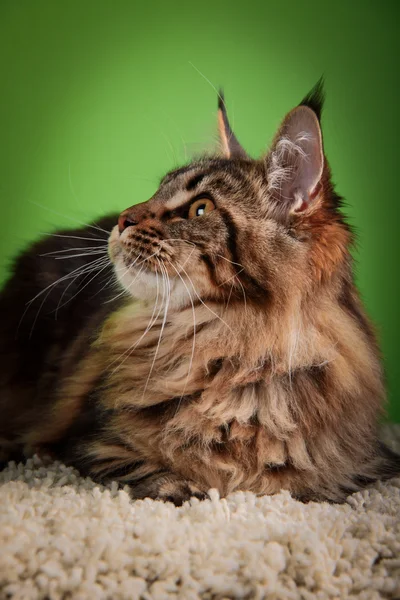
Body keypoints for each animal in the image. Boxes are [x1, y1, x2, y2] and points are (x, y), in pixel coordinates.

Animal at [0, 83, 400, 506]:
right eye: (156, 190)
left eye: (200, 209)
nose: (122, 219)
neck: (232, 353)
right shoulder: (86, 439)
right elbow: (148, 468)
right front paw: (188, 487)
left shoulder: (359, 467)